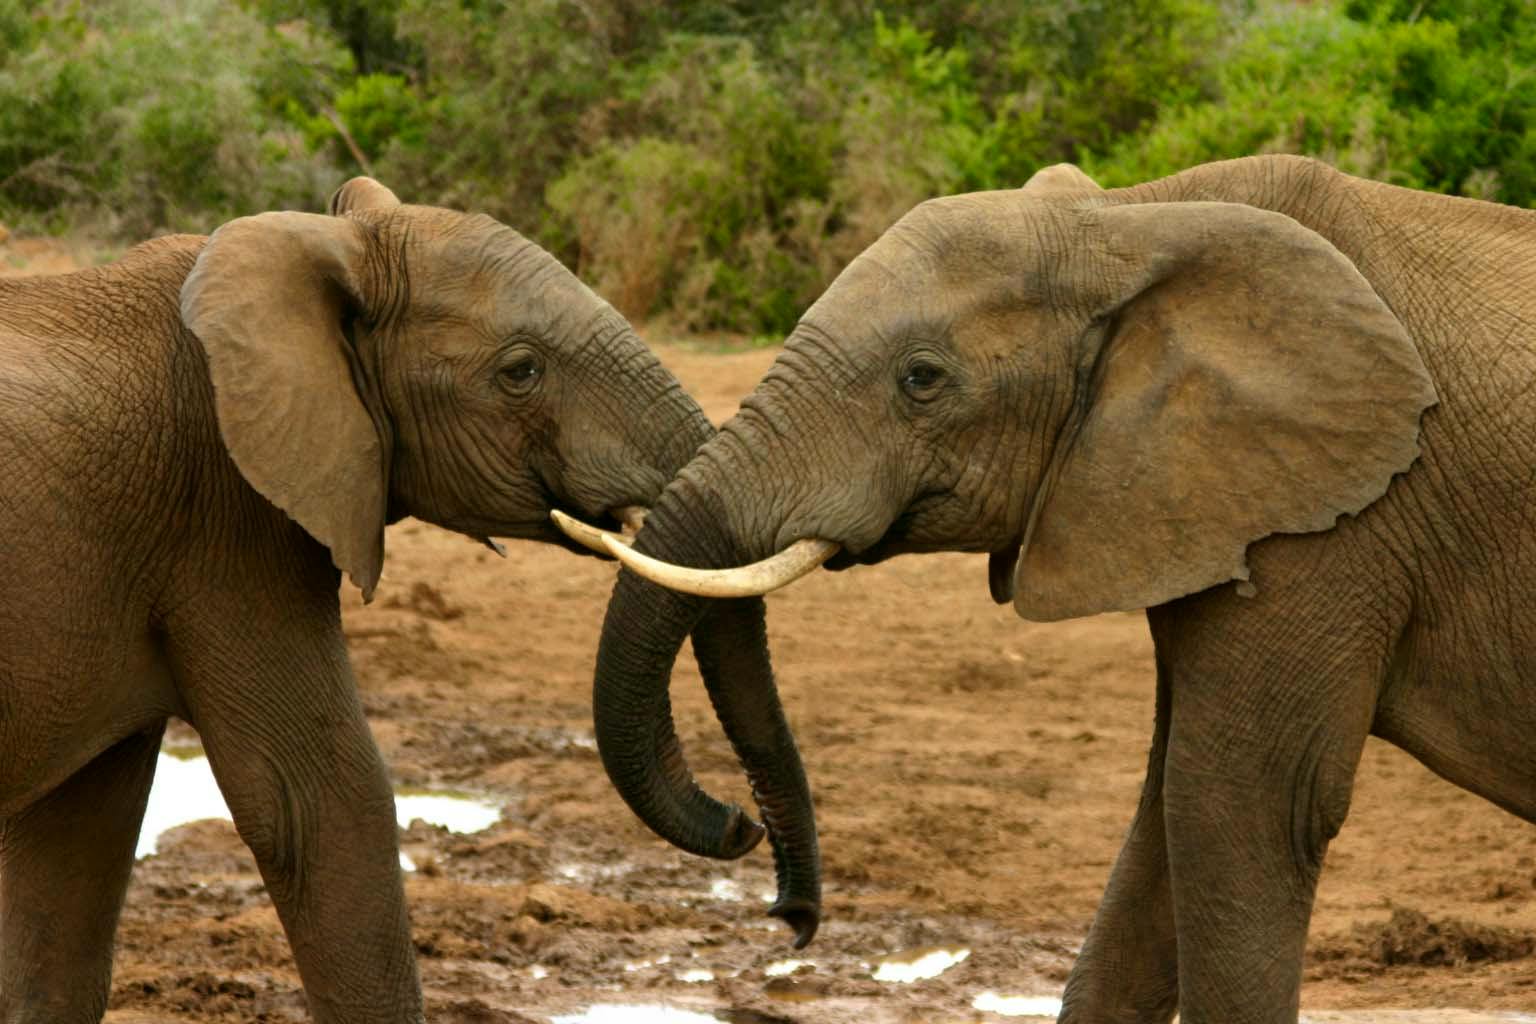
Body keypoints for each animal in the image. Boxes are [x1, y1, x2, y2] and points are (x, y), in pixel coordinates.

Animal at [565, 154, 1536, 1022]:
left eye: (922, 379)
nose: (780, 898)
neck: (1131, 221)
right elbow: (1168, 810)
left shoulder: (1334, 521)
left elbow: (1242, 806)